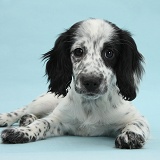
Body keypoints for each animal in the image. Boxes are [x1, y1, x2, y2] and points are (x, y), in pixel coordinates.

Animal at [0, 18, 149, 149]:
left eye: (109, 53)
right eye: (78, 51)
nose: (91, 82)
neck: (91, 106)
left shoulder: (137, 117)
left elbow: (137, 123)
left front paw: (130, 135)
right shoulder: (59, 120)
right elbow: (43, 122)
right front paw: (22, 132)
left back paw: (27, 119)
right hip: (44, 101)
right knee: (24, 109)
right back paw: (9, 118)